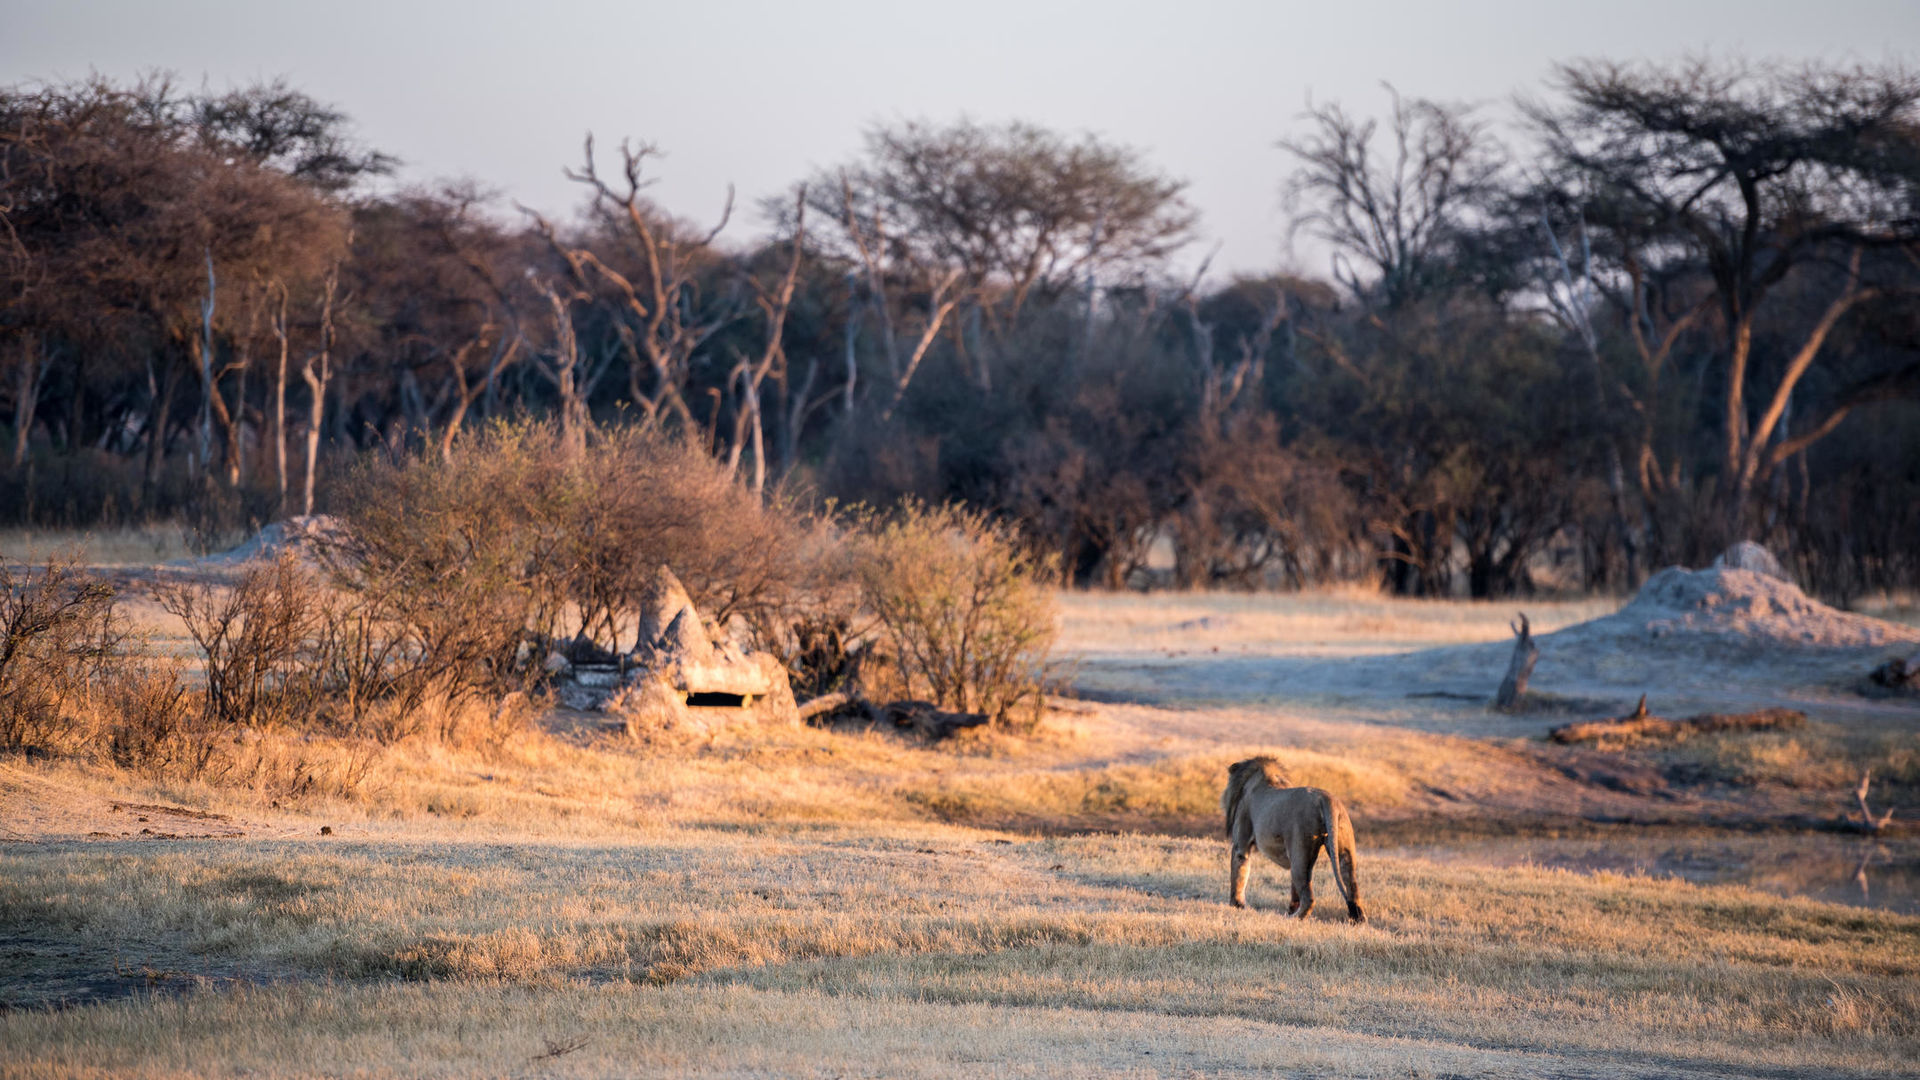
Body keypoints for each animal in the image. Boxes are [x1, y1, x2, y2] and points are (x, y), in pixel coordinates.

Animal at [1213, 753, 1367, 922]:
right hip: (1342, 847)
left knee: (1309, 898)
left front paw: (1236, 905)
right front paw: (1290, 908)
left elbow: (1239, 873)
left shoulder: (1241, 843)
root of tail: (1325, 799)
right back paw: (1358, 919)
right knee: (1352, 885)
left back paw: (1293, 918)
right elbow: (1293, 891)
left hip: (1300, 849)